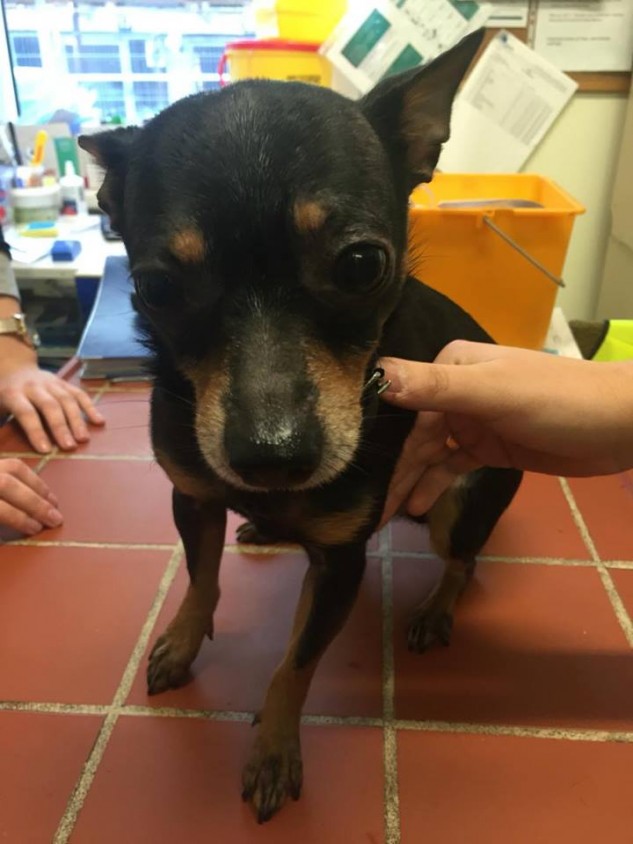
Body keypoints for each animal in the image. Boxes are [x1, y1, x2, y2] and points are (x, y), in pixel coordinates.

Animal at [79, 29, 522, 823]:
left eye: (362, 264)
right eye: (155, 288)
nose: (271, 459)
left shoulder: (341, 564)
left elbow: (294, 664)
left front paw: (274, 751)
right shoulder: (191, 496)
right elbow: (200, 577)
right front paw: (182, 642)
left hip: (461, 503)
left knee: (463, 561)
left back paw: (434, 611)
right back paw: (264, 525)